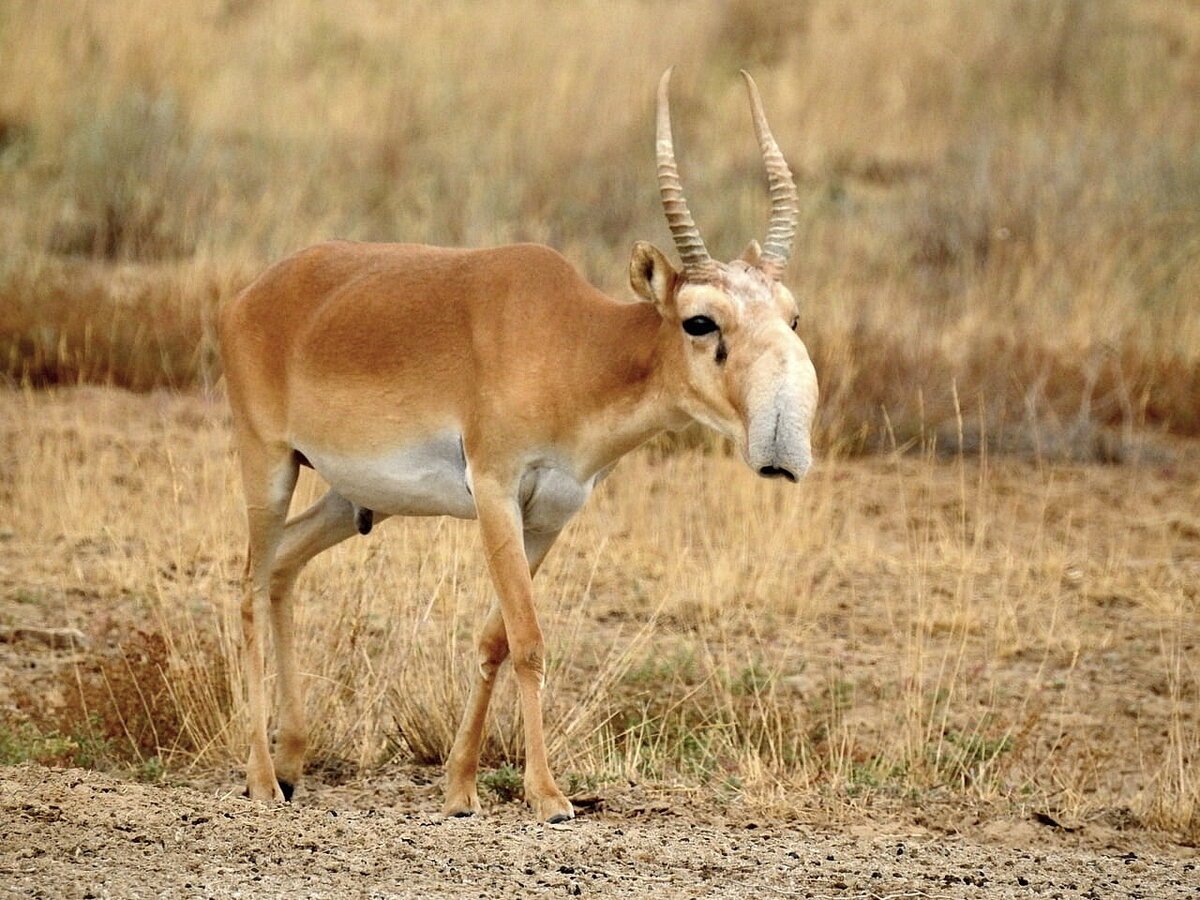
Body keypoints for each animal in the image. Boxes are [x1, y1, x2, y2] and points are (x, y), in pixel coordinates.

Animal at [218, 70, 816, 825]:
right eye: (699, 320)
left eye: (792, 316)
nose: (781, 438)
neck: (571, 344)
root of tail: (250, 296)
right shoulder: (497, 492)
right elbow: (529, 641)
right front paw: (549, 795)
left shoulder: (551, 515)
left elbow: (495, 638)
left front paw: (460, 787)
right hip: (267, 465)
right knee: (246, 584)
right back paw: (262, 777)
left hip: (348, 500)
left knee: (283, 568)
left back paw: (295, 761)